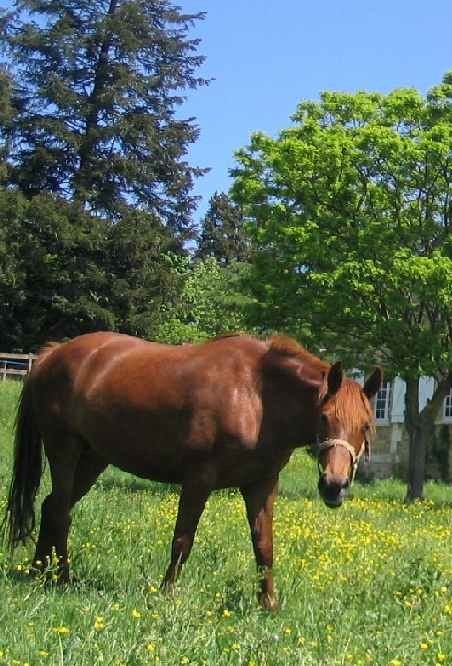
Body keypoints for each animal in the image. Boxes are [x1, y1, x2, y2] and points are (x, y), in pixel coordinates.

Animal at [4, 332, 381, 609]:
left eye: (365, 425)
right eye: (324, 418)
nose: (334, 485)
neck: (257, 396)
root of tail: (51, 355)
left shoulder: (261, 484)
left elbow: (264, 545)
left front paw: (268, 605)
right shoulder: (199, 478)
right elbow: (183, 539)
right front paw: (167, 594)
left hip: (94, 457)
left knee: (52, 507)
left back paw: (39, 573)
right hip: (64, 450)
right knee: (61, 511)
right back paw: (62, 579)